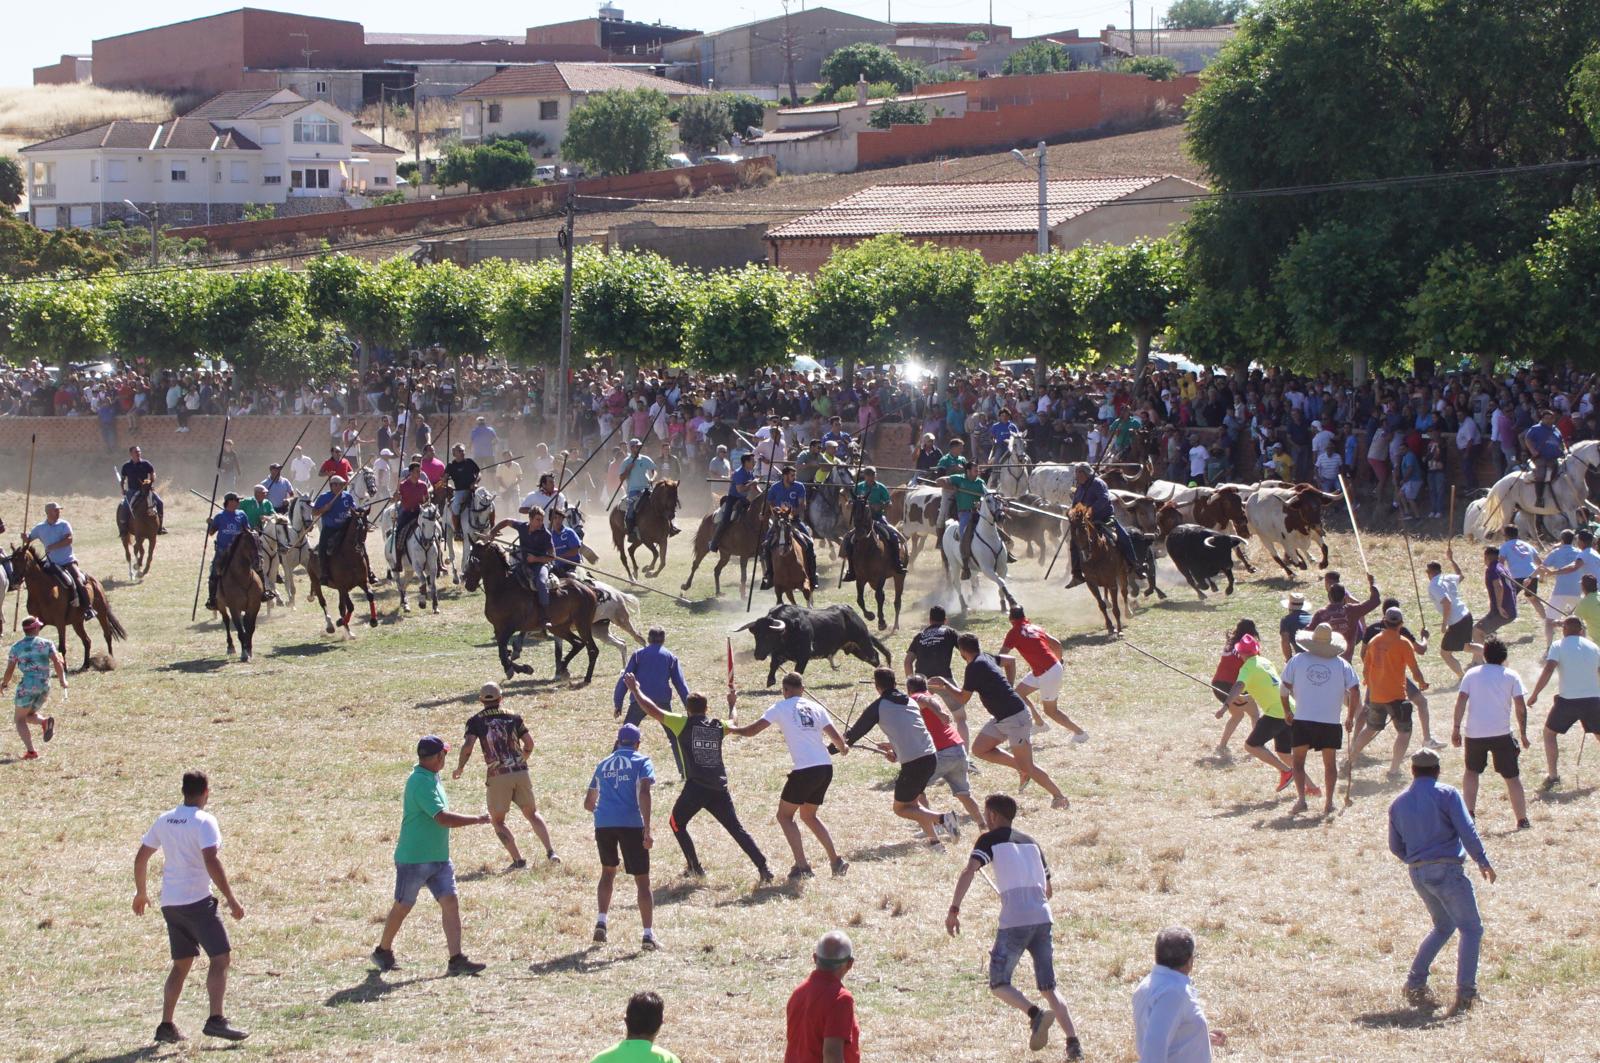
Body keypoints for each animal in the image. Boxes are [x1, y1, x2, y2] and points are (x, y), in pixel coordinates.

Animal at [217, 528, 264, 656]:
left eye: (260, 542)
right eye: (248, 543)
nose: (258, 563)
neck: (243, 578)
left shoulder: (254, 606)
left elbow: (250, 628)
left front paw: (249, 650)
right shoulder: (234, 608)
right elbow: (240, 630)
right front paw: (244, 654)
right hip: (221, 605)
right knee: (226, 620)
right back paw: (230, 646)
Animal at [300, 512, 376, 640]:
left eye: (366, 527)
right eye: (355, 527)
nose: (359, 546)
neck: (350, 558)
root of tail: (312, 550)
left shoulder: (362, 582)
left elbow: (370, 596)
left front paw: (374, 621)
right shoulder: (343, 586)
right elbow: (350, 606)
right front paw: (339, 622)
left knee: (341, 607)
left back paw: (348, 631)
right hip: (315, 581)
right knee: (323, 602)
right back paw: (331, 625)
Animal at [467, 544, 604, 685]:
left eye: (474, 561)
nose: (468, 584)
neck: (503, 588)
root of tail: (589, 589)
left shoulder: (509, 628)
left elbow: (503, 653)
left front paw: (516, 669)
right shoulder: (498, 629)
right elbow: (503, 653)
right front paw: (522, 668)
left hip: (583, 624)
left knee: (592, 649)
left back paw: (586, 678)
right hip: (559, 627)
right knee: (578, 643)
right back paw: (563, 667)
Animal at [732, 605, 896, 688]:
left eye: (769, 635)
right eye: (756, 635)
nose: (757, 655)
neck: (789, 630)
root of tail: (851, 612)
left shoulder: (804, 655)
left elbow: (797, 671)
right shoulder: (781, 654)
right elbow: (773, 665)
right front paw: (770, 681)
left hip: (863, 641)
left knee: (874, 656)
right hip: (856, 649)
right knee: (873, 657)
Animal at [1068, 505, 1132, 633]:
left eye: (1084, 526)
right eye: (1071, 528)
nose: (1084, 555)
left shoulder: (1112, 582)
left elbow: (1116, 608)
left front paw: (1119, 629)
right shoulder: (1091, 584)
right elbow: (1101, 605)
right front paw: (1110, 626)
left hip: (1122, 572)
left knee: (1124, 591)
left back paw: (1128, 612)